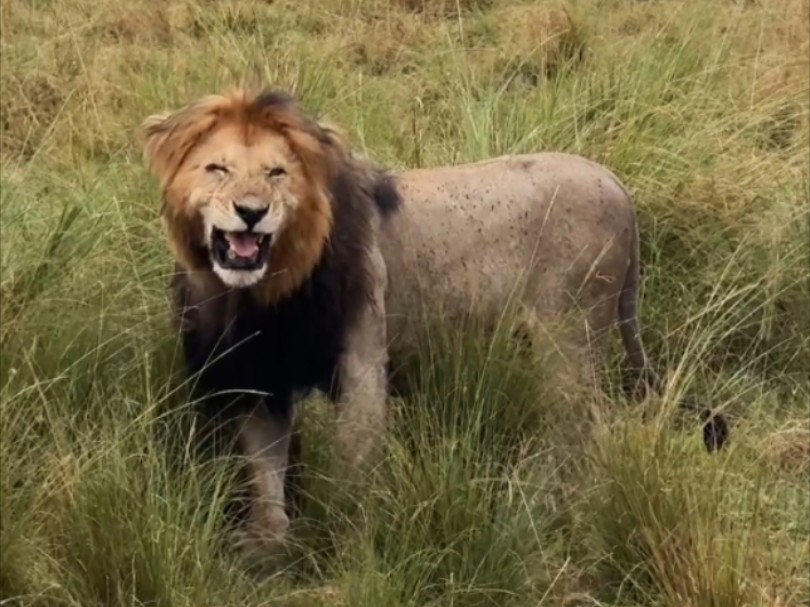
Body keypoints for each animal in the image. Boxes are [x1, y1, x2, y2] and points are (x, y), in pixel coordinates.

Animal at [139, 88, 724, 560]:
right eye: (216, 169)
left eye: (277, 173)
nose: (251, 212)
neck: (263, 295)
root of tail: (619, 187)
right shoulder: (260, 375)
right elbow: (266, 472)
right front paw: (267, 547)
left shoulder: (362, 361)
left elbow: (354, 461)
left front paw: (349, 545)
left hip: (570, 339)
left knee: (583, 432)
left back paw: (547, 511)